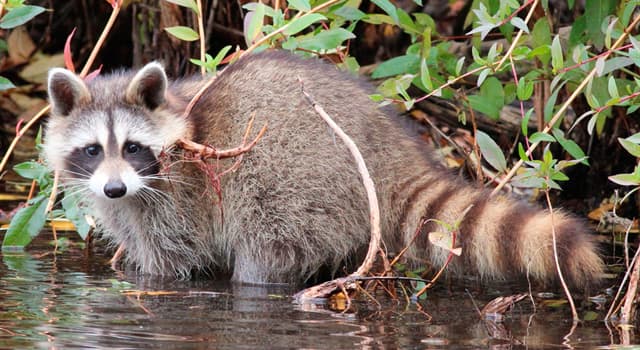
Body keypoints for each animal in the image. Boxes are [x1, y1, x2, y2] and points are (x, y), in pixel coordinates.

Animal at [45, 51, 604, 288]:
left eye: (133, 147)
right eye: (92, 150)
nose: (113, 189)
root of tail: (386, 147)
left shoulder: (180, 197)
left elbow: (172, 261)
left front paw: (149, 279)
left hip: (296, 177)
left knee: (267, 249)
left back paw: (258, 280)